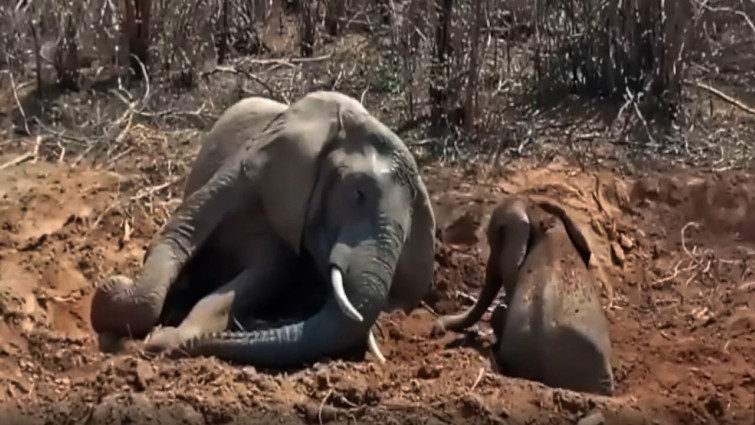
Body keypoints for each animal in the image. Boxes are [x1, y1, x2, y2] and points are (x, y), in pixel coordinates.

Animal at [89, 91, 436, 368]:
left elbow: (260, 279)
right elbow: (175, 237)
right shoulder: (244, 171)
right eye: (358, 194)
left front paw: (168, 340)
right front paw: (114, 291)